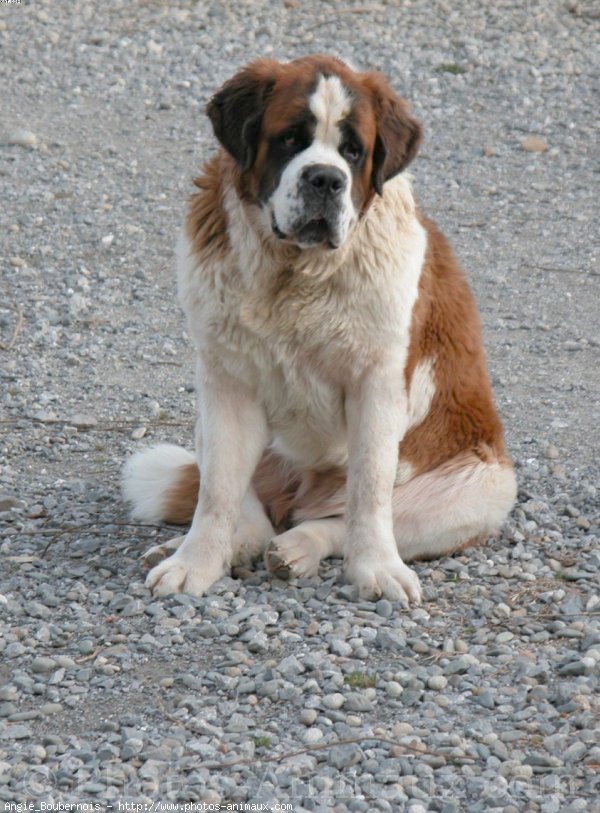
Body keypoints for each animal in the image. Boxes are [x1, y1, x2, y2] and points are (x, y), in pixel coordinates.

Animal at [120, 55, 516, 604]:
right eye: (290, 138)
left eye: (353, 151)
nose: (326, 179)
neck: (294, 272)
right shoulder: (225, 381)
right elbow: (217, 491)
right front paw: (195, 564)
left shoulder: (378, 384)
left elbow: (369, 493)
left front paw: (376, 569)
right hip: (216, 416)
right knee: (252, 510)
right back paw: (221, 546)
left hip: (482, 488)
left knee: (334, 520)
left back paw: (298, 549)